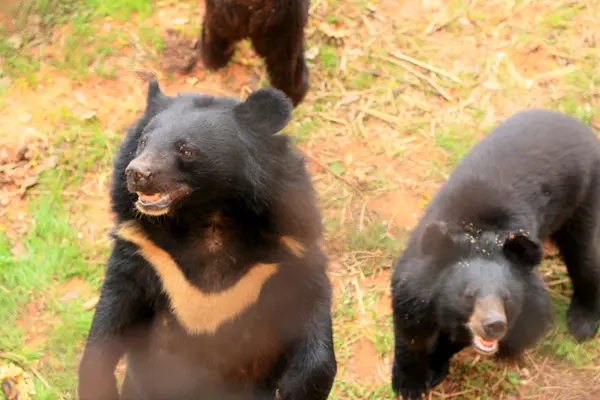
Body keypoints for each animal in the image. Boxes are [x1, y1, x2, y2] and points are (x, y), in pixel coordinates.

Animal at [77, 80, 336, 400]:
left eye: (186, 149)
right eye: (143, 142)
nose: (137, 173)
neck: (206, 216)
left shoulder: (288, 250)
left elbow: (310, 305)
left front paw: (295, 388)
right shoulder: (144, 250)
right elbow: (113, 311)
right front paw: (97, 384)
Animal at [390, 108, 600, 398]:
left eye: (507, 298)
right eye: (469, 295)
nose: (494, 325)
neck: (479, 234)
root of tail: (579, 124)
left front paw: (436, 365)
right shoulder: (416, 278)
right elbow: (410, 327)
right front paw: (409, 383)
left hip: (586, 198)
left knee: (584, 258)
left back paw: (582, 323)